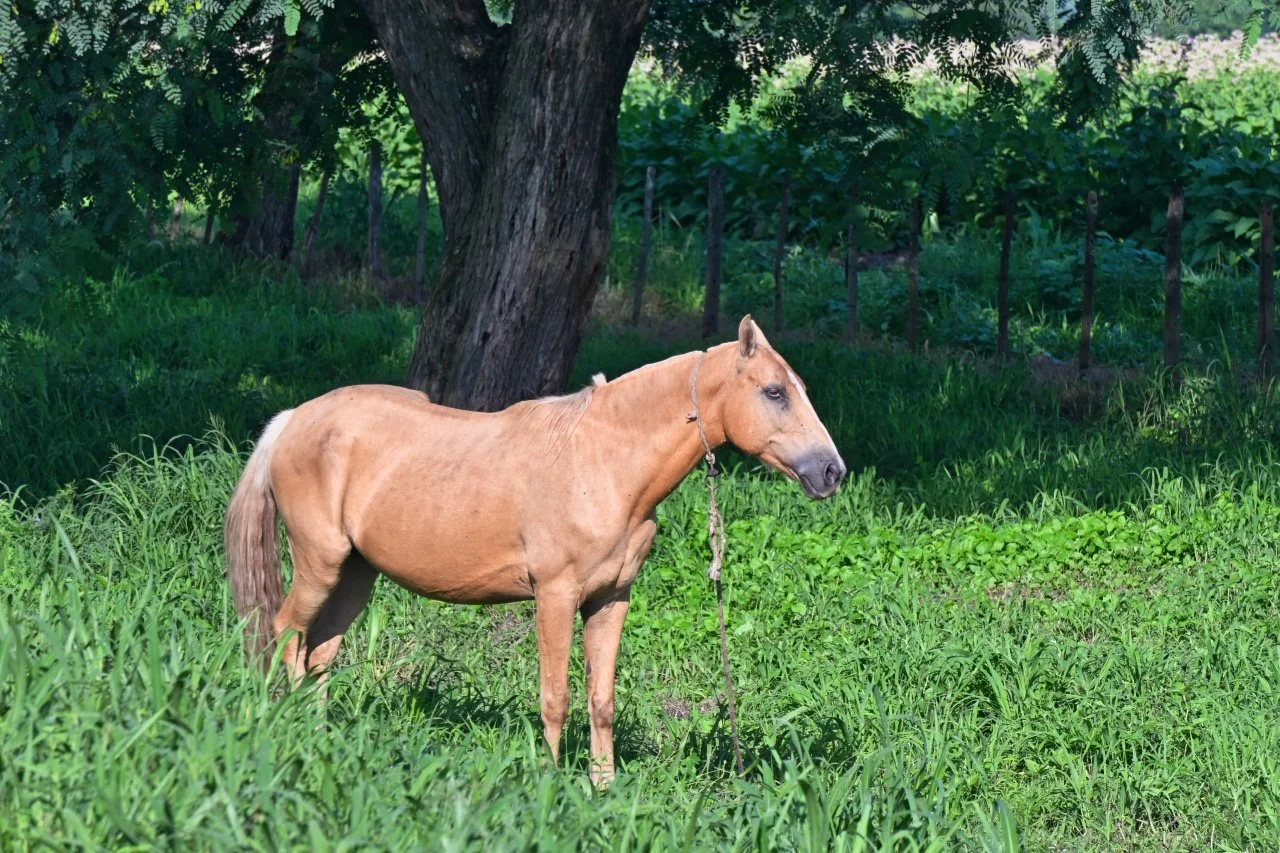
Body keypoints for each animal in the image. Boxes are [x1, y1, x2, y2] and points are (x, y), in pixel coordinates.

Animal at [224, 315, 846, 785]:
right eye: (774, 392)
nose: (831, 472)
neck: (601, 463)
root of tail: (293, 420)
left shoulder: (610, 600)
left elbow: (601, 700)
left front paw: (603, 788)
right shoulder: (555, 597)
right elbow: (555, 697)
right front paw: (549, 786)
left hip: (356, 574)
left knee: (319, 653)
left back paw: (320, 736)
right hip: (320, 564)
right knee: (285, 636)